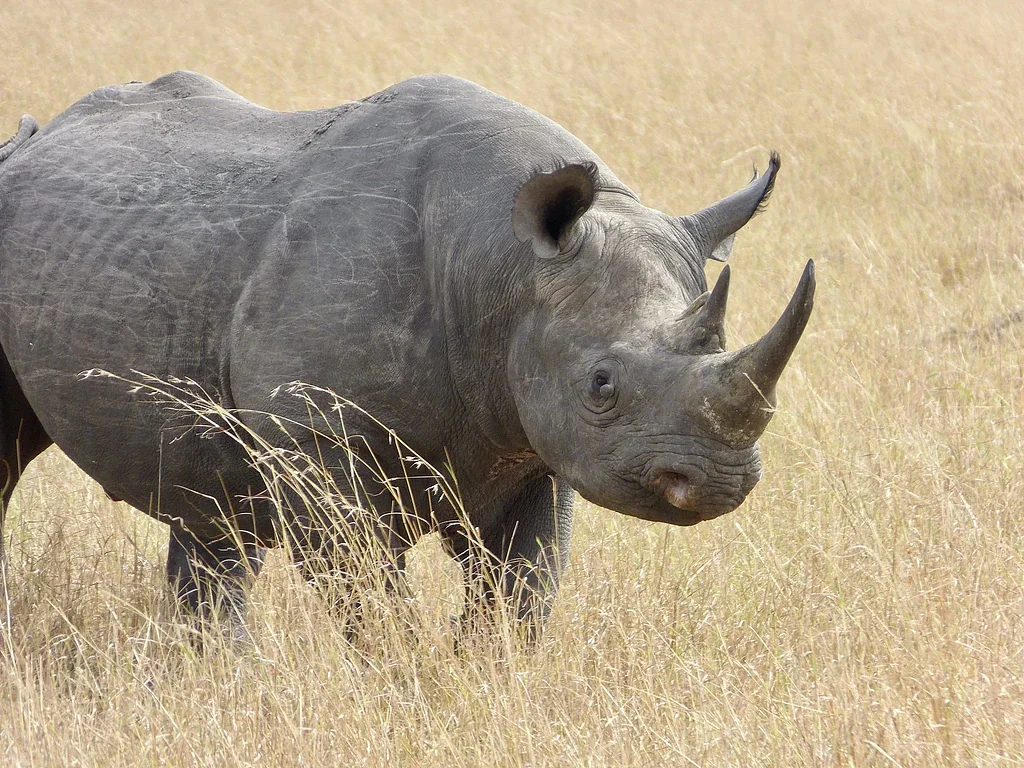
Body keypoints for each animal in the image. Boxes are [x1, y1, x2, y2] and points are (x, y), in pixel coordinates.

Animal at [0, 72, 813, 640]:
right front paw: (404, 684)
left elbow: (522, 592)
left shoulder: (531, 443)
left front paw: (483, 680)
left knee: (214, 509)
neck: (502, 263)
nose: (717, 482)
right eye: (602, 384)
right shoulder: (316, 437)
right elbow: (369, 595)